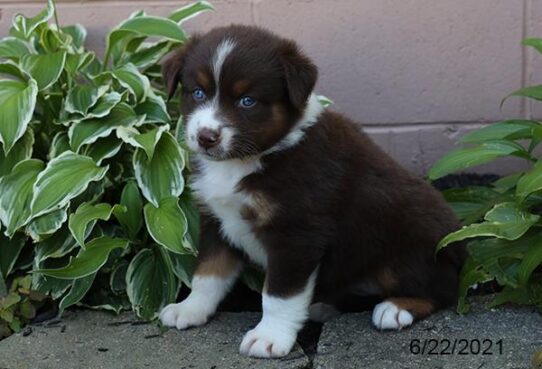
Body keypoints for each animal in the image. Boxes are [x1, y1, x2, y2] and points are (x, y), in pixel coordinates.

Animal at [158, 25, 468, 356]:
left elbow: (278, 295)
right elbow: (208, 273)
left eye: (247, 101)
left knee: (444, 289)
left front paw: (269, 337)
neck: (248, 160)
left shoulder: (296, 233)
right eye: (198, 93)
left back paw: (396, 308)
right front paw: (190, 309)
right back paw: (323, 307)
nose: (206, 137)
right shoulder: (216, 220)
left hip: (404, 248)